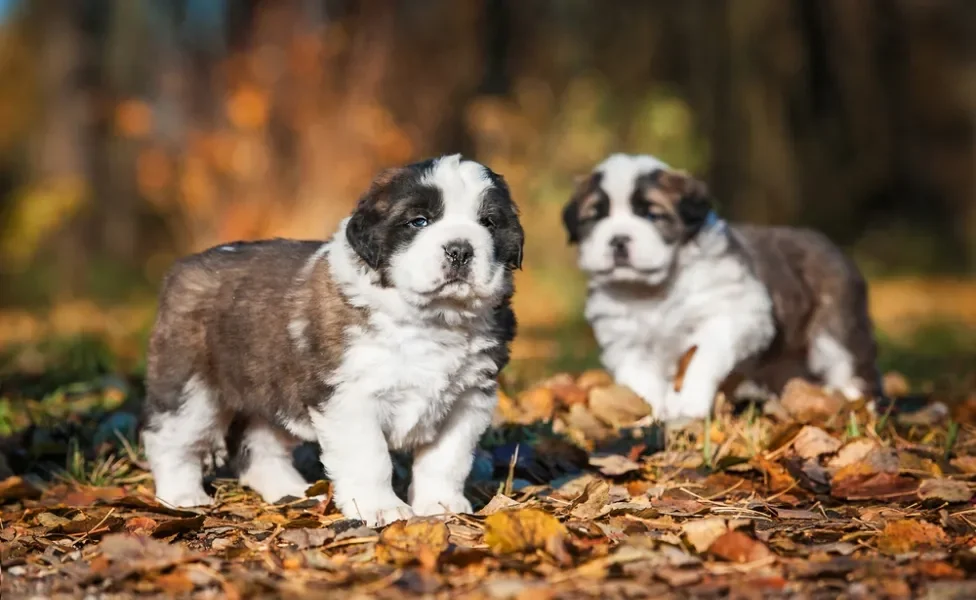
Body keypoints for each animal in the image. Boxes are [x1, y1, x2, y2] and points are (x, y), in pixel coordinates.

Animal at [141, 155, 524, 524]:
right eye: (419, 221)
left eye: (488, 222)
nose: (459, 250)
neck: (432, 319)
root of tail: (185, 266)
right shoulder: (349, 397)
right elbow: (370, 458)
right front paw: (381, 509)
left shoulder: (468, 398)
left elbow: (447, 460)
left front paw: (442, 504)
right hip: (190, 386)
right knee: (170, 440)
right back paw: (182, 497)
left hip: (274, 390)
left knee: (262, 446)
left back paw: (291, 492)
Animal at [560, 152, 880, 422]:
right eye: (595, 217)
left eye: (651, 215)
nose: (618, 240)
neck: (653, 292)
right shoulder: (624, 341)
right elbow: (640, 381)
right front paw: (652, 413)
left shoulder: (736, 314)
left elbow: (703, 357)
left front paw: (688, 403)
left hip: (838, 332)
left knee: (850, 369)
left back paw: (858, 406)